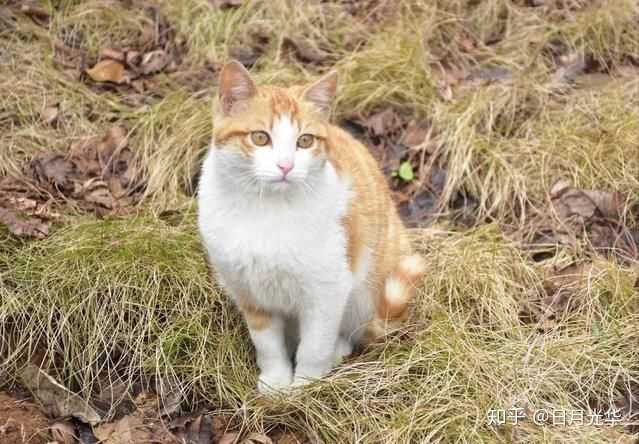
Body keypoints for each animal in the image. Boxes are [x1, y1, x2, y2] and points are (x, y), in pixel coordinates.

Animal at [196, 59, 424, 392]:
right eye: (260, 137)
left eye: (305, 141)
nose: (286, 166)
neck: (265, 211)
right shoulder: (249, 292)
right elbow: (267, 344)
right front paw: (276, 383)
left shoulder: (327, 291)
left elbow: (314, 346)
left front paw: (305, 385)